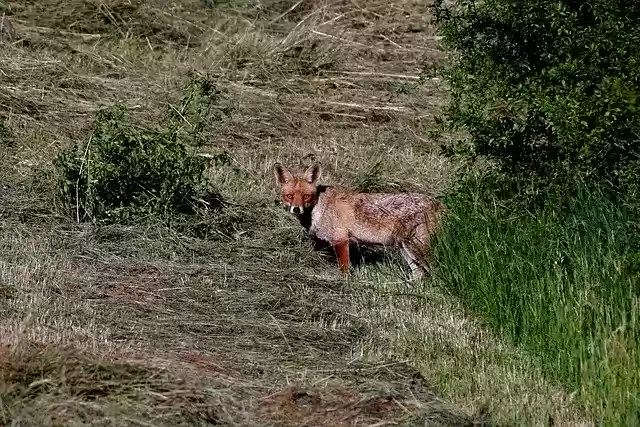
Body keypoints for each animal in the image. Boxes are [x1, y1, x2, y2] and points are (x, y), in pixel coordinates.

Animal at [273, 162, 445, 280]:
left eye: (306, 196)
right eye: (289, 196)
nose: (296, 209)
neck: (319, 208)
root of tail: (438, 204)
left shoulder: (341, 239)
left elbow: (344, 269)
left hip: (417, 249)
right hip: (406, 249)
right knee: (419, 274)